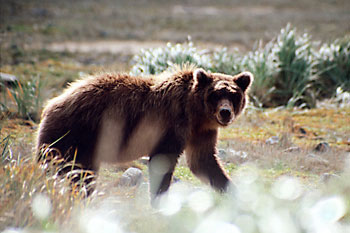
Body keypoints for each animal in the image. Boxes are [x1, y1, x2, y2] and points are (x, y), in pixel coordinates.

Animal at [37, 66, 253, 203]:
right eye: (215, 94)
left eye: (234, 95)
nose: (225, 112)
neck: (196, 113)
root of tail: (51, 103)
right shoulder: (172, 124)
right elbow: (163, 160)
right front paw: (159, 201)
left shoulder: (202, 132)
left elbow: (204, 162)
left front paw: (235, 193)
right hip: (72, 134)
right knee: (62, 169)